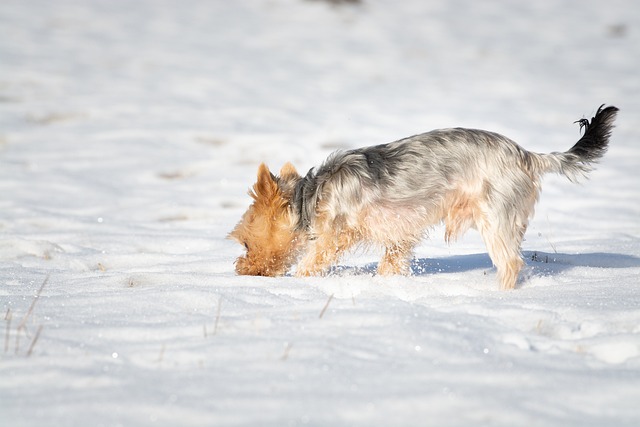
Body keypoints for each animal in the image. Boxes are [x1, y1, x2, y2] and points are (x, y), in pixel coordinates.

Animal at [228, 105, 616, 290]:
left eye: (246, 243)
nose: (241, 271)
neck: (310, 198)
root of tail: (528, 156)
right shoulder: (400, 237)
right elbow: (391, 264)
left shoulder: (334, 235)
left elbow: (310, 263)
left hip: (495, 216)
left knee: (510, 263)